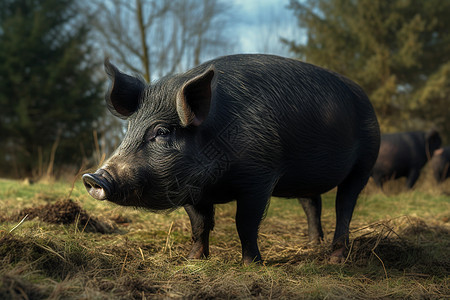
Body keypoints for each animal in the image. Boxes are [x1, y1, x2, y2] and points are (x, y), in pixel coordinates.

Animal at [81, 54, 380, 264]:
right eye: (129, 129)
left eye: (162, 131)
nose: (93, 177)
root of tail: (365, 98)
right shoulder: (189, 188)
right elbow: (199, 224)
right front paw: (192, 260)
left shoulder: (260, 176)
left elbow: (245, 223)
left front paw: (252, 265)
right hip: (306, 177)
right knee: (311, 204)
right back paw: (311, 246)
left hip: (365, 163)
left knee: (344, 206)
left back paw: (335, 258)